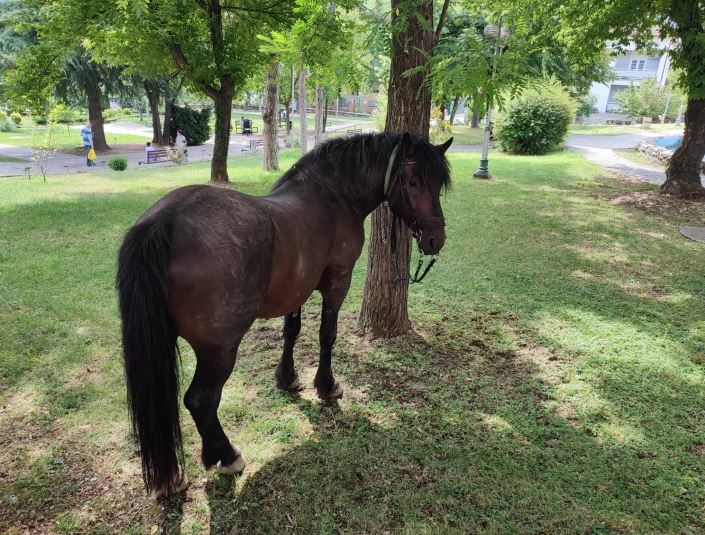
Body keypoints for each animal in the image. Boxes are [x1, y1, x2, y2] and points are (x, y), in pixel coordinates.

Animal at [117, 132, 452, 496]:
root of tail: (162, 223)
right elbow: (326, 335)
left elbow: (291, 331)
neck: (332, 195)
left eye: (438, 184)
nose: (435, 239)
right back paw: (226, 456)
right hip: (218, 349)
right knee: (200, 400)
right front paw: (327, 386)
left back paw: (171, 475)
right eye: (413, 181)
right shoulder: (338, 281)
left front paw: (288, 378)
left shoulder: (297, 288)